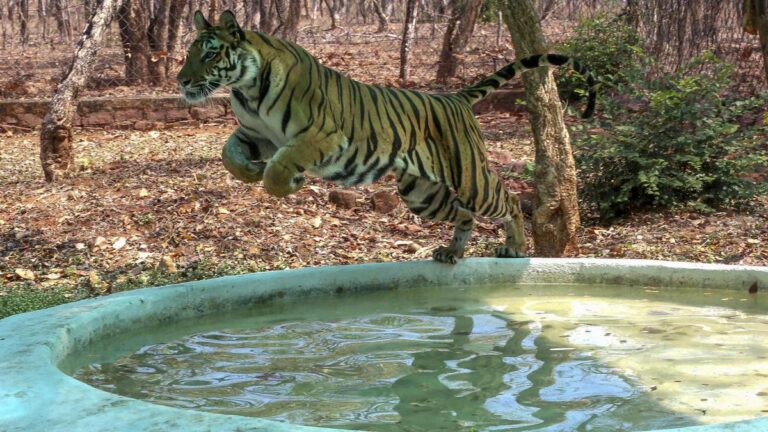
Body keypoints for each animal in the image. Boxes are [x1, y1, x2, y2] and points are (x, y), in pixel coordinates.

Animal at [177, 10, 596, 264]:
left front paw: (287, 182)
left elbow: (278, 170)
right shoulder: (255, 134)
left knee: (506, 200)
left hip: (470, 178)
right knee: (463, 215)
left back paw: (515, 248)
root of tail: (455, 97)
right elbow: (227, 154)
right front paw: (248, 171)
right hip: (422, 194)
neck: (247, 88)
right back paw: (451, 252)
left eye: (210, 54)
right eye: (189, 53)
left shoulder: (322, 135)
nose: (180, 81)